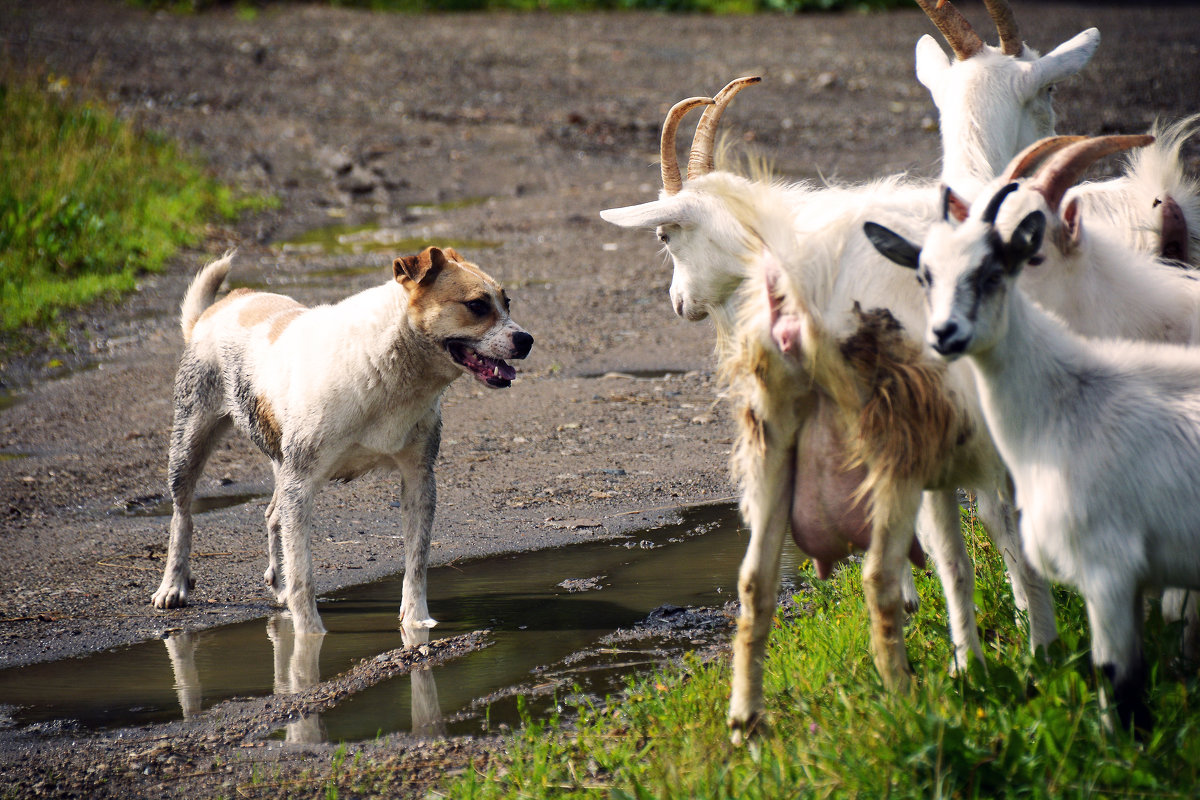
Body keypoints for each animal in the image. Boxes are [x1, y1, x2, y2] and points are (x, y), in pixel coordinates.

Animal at [151, 247, 535, 633]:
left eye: (507, 302)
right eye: (476, 305)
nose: (526, 340)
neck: (385, 366)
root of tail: (215, 310)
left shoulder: (418, 478)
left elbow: (416, 561)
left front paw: (416, 622)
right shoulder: (301, 484)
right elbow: (303, 572)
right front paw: (309, 634)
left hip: (280, 461)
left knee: (273, 515)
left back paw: (278, 583)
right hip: (191, 439)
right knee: (182, 515)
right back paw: (173, 585)